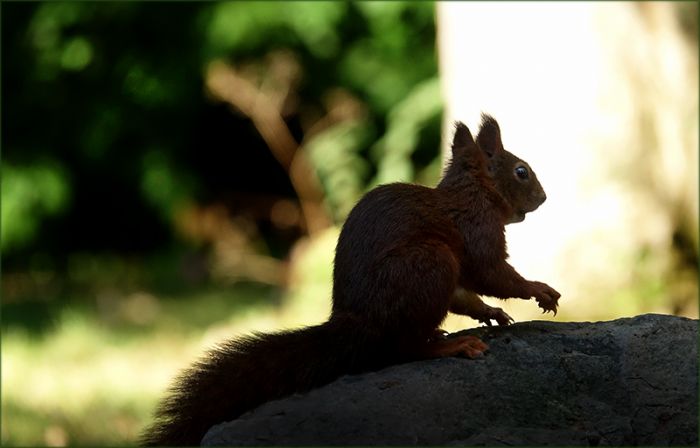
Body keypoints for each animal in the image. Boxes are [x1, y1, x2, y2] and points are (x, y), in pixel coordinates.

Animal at [141, 114, 561, 446]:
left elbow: (467, 293)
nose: (543, 197)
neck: (473, 193)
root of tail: (357, 322)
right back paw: (449, 346)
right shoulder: (476, 232)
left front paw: (491, 313)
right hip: (430, 263)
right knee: (401, 349)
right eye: (521, 171)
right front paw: (538, 290)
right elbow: (493, 275)